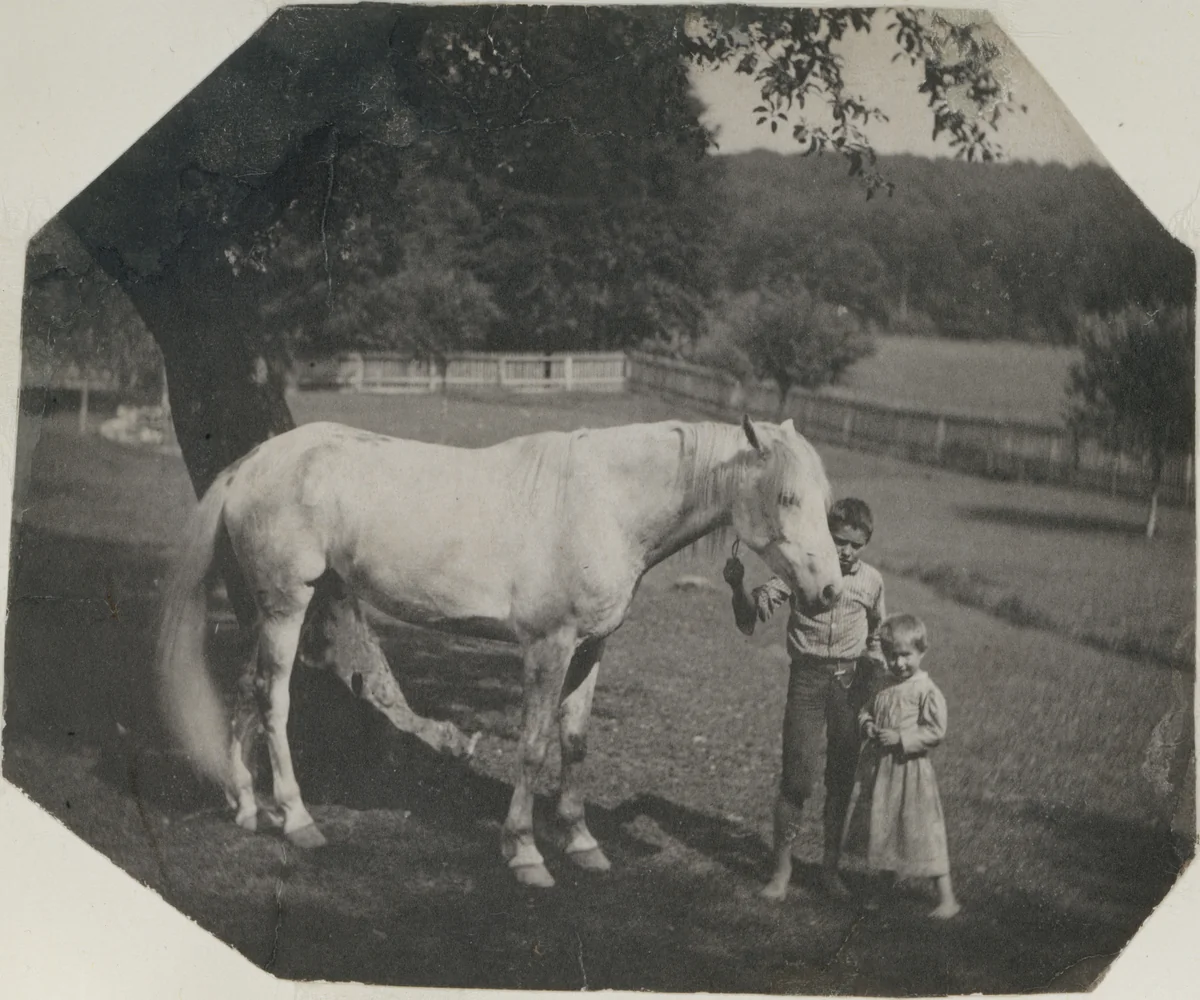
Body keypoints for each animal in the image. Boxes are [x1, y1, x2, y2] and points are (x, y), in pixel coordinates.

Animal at [155, 413, 842, 888]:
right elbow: (534, 745)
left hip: (270, 609)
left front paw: (583, 844)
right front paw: (526, 853)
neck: (603, 504)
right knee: (274, 701)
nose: (831, 591)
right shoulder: (547, 648)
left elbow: (574, 742)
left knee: (245, 691)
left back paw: (247, 807)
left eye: (826, 501)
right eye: (787, 497)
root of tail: (251, 464)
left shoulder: (590, 649)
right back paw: (297, 820)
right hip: (287, 606)